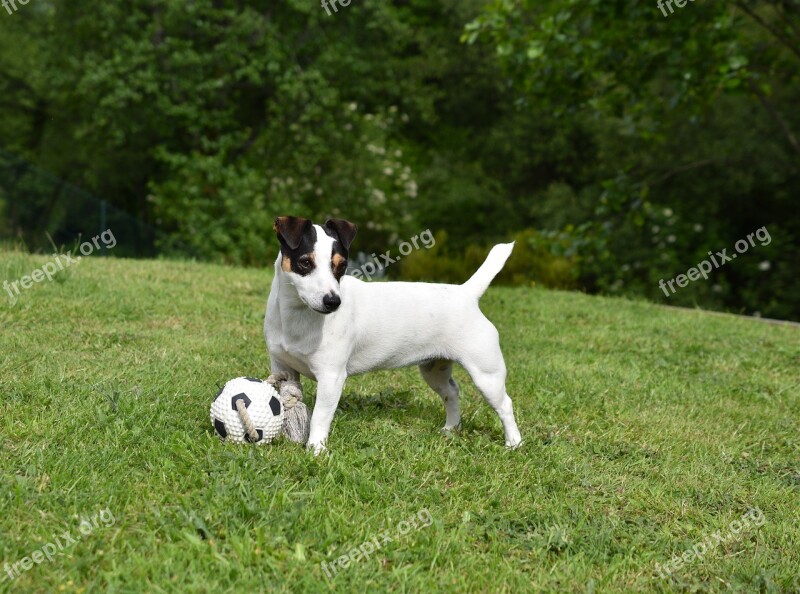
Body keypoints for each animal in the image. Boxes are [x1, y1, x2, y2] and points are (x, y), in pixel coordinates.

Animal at [266, 217, 520, 454]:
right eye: (305, 262)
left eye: (342, 265)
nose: (333, 301)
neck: (298, 316)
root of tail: (466, 293)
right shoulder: (283, 368)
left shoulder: (331, 377)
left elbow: (320, 416)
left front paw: (316, 449)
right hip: (434, 370)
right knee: (451, 392)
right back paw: (451, 428)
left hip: (486, 374)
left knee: (505, 404)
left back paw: (514, 443)